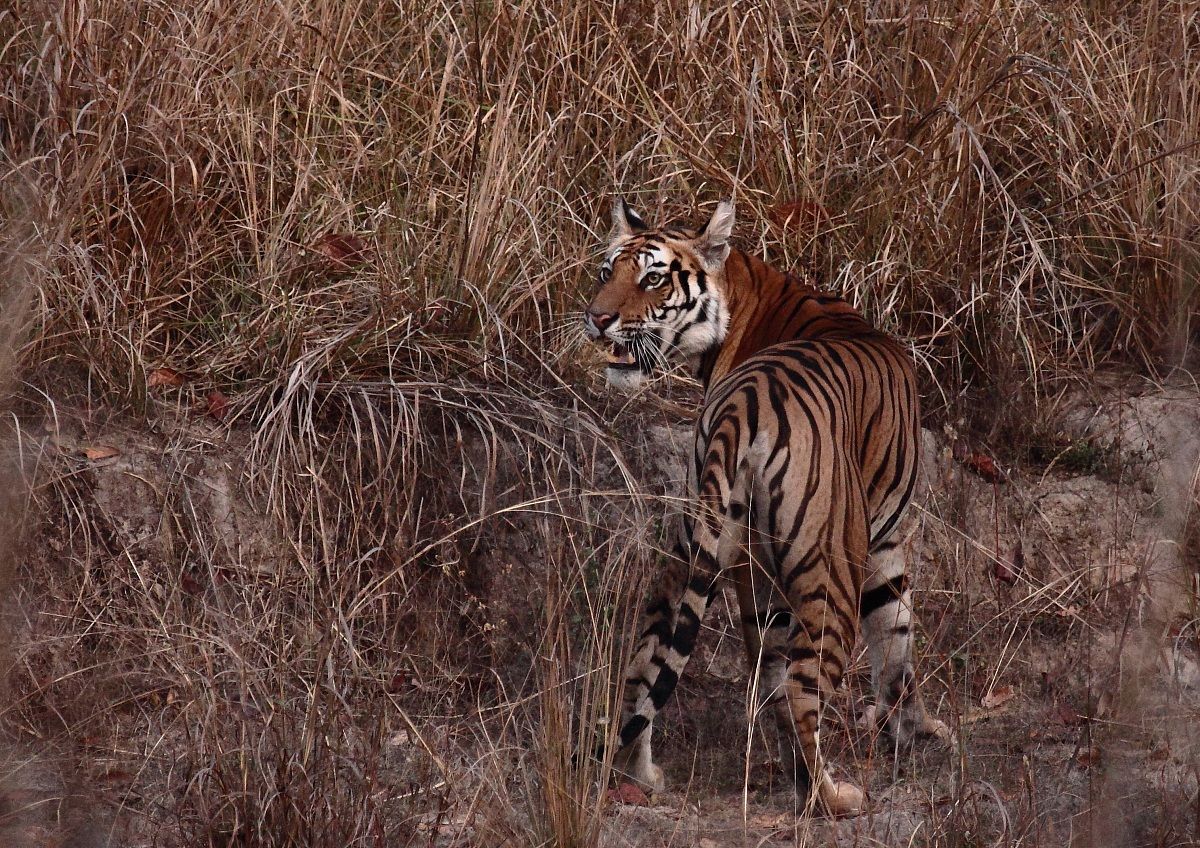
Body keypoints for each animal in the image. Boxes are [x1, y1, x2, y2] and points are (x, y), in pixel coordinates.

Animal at [582, 197, 951, 816]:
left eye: (651, 278)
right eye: (610, 271)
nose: (597, 318)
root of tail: (743, 405)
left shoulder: (879, 548)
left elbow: (897, 638)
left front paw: (913, 730)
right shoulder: (873, 545)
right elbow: (890, 641)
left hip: (696, 544)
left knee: (650, 660)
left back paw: (645, 773)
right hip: (829, 564)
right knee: (802, 686)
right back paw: (830, 794)